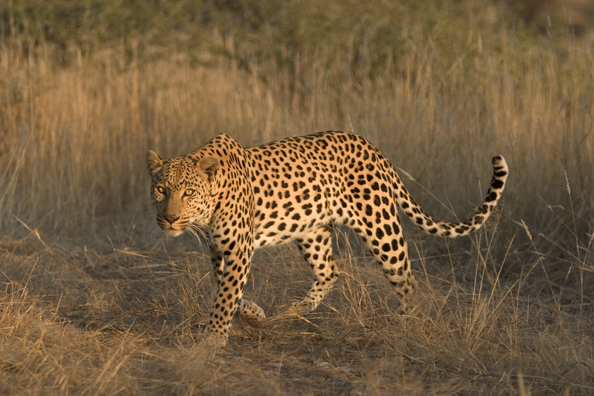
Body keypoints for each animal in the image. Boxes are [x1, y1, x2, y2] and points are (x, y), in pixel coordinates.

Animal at [146, 131, 506, 346]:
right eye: (160, 189)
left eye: (188, 192)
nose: (170, 218)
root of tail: (372, 147)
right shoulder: (219, 250)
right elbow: (228, 292)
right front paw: (253, 315)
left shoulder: (238, 248)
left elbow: (225, 296)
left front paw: (213, 338)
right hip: (312, 232)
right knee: (330, 271)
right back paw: (298, 309)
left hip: (381, 227)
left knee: (405, 278)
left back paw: (407, 325)